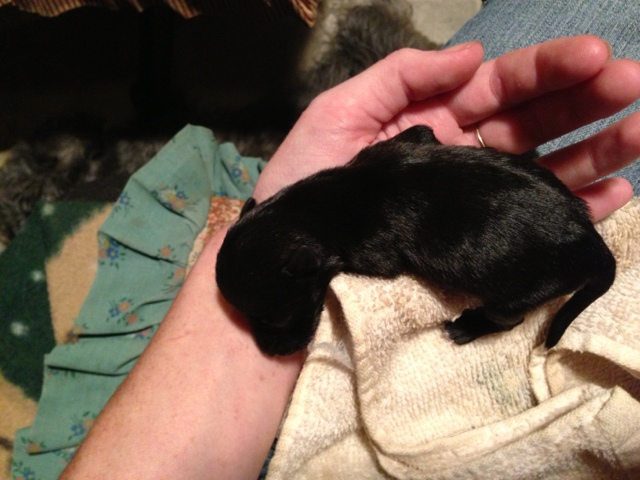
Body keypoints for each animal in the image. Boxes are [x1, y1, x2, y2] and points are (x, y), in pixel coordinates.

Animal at [216, 125, 616, 356]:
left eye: (278, 318)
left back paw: (466, 327)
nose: (271, 353)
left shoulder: (374, 252)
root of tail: (590, 239)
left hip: (521, 292)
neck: (321, 203)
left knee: (508, 319)